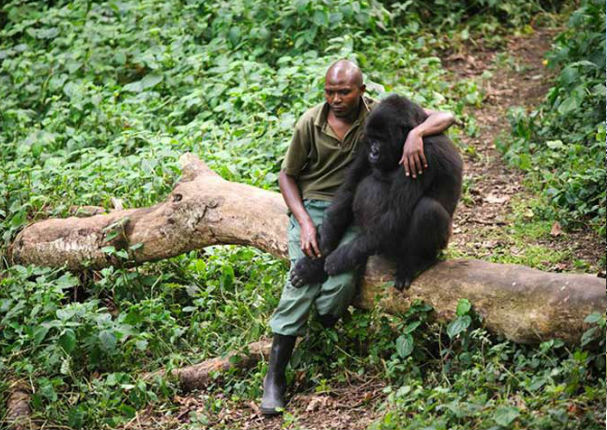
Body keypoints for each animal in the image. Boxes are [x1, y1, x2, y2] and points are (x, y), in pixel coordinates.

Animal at [292, 93, 464, 288]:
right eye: (372, 138)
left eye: (381, 139)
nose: (373, 152)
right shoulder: (364, 142)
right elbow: (348, 190)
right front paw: (315, 263)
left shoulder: (424, 151)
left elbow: (396, 214)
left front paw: (339, 259)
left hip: (439, 244)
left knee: (428, 209)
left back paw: (417, 262)